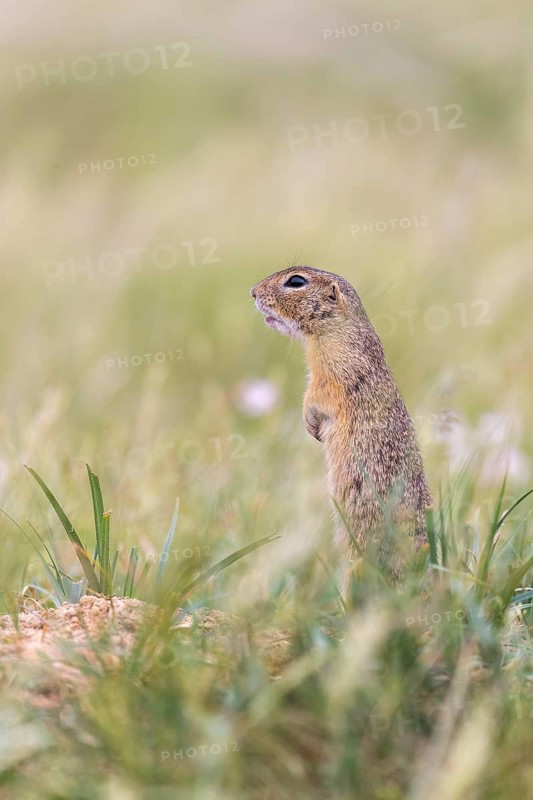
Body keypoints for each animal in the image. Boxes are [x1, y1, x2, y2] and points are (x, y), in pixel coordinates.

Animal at [250, 266, 431, 582]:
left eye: (296, 281)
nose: (252, 292)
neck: (335, 330)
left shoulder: (335, 373)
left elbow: (317, 395)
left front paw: (310, 422)